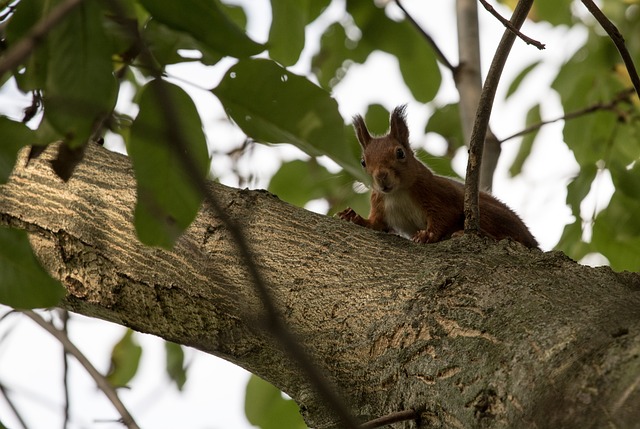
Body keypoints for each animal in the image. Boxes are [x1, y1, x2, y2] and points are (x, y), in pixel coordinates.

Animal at [338, 104, 536, 247]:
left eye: (400, 153)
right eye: (363, 162)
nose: (381, 177)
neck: (397, 193)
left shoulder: (437, 194)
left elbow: (443, 217)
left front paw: (427, 235)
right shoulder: (380, 204)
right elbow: (375, 224)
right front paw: (354, 217)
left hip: (489, 213)